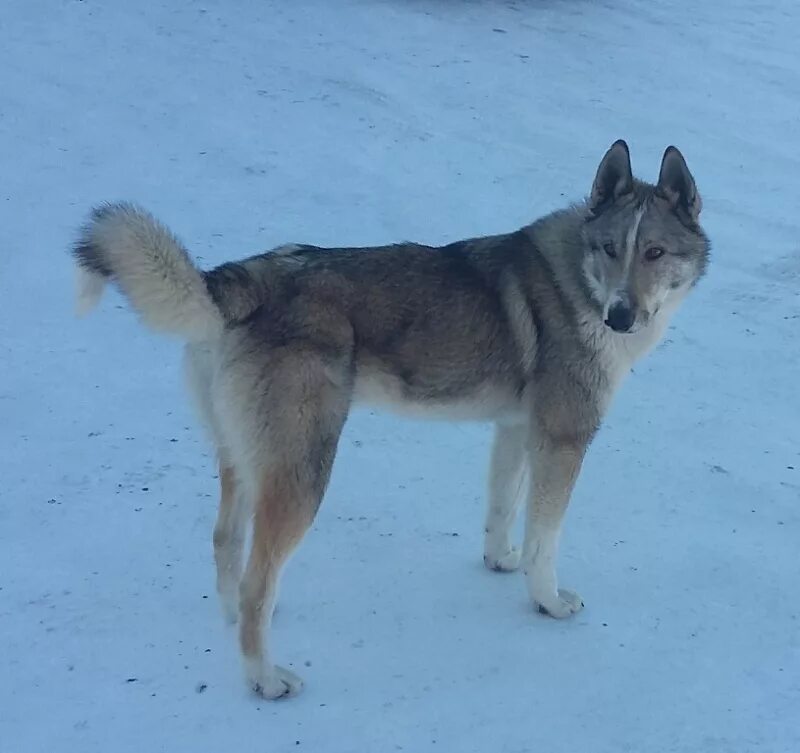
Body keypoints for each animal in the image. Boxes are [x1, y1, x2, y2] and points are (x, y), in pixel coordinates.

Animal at [73, 142, 712, 700]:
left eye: (654, 253)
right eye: (609, 248)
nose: (620, 317)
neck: (579, 282)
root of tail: (241, 278)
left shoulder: (514, 430)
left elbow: (502, 510)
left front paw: (500, 561)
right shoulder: (563, 440)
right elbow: (545, 539)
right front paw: (548, 601)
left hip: (244, 459)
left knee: (227, 544)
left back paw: (235, 624)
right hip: (303, 472)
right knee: (258, 579)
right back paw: (265, 679)